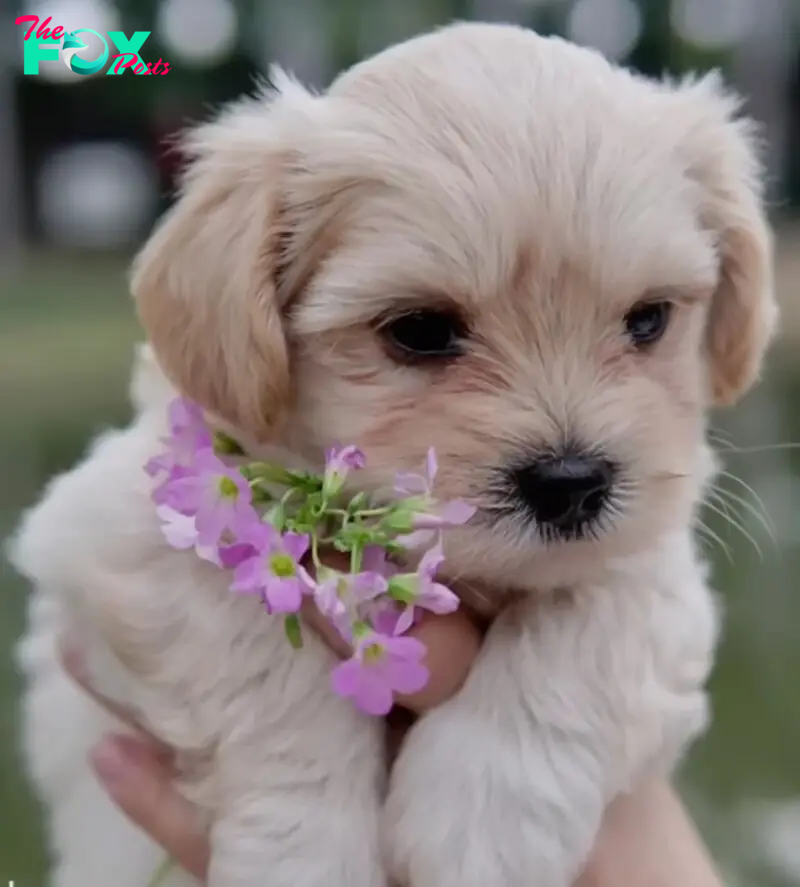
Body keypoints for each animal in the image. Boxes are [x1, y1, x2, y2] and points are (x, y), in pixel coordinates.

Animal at [10, 19, 776, 887]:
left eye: (649, 320)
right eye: (420, 331)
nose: (573, 484)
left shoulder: (655, 563)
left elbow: (590, 623)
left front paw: (484, 819)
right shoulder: (123, 535)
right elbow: (259, 662)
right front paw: (306, 853)